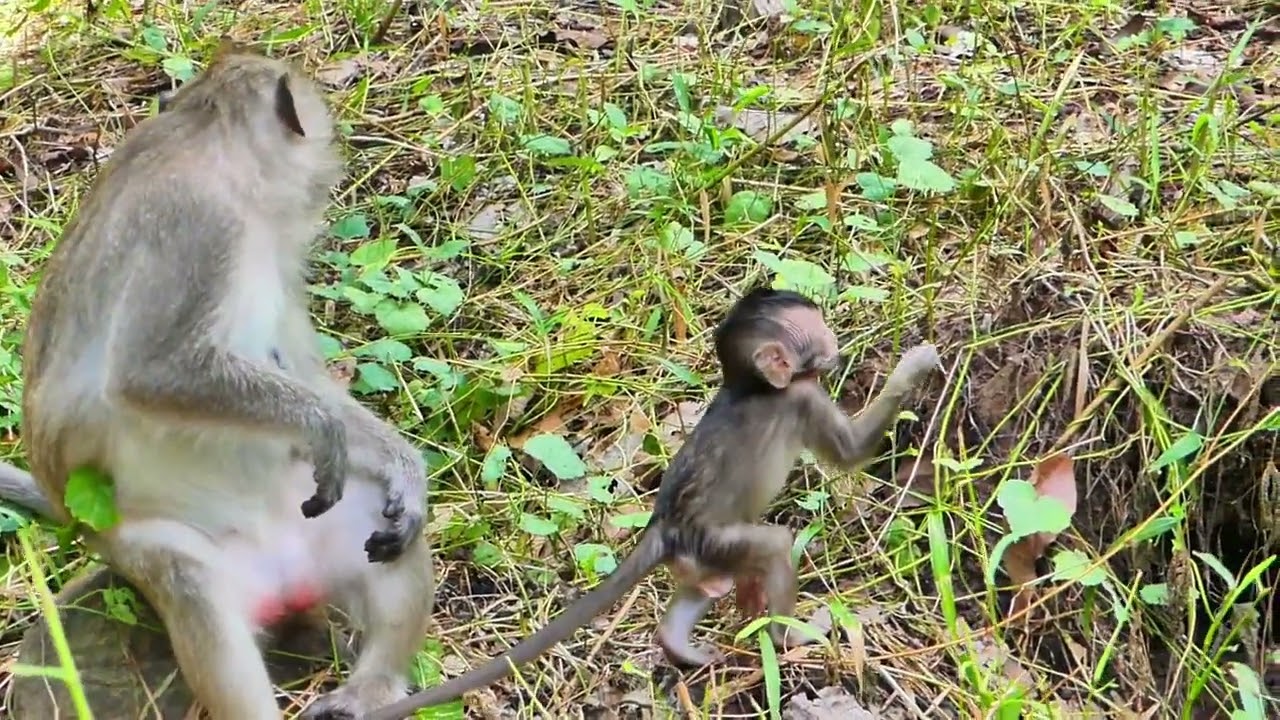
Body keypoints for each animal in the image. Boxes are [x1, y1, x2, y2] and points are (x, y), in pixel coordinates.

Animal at [13, 41, 433, 719]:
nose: (329, 164)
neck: (208, 139)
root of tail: (287, 574)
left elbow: (304, 371)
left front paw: (404, 468)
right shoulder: (200, 226)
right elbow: (152, 372)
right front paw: (321, 426)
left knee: (373, 519)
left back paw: (371, 687)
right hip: (144, 548)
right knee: (191, 584)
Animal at [362, 287, 942, 720]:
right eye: (812, 328)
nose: (833, 334)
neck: (753, 386)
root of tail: (663, 523)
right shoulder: (802, 397)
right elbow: (851, 453)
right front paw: (915, 364)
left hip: (699, 553)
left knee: (709, 582)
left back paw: (678, 640)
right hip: (714, 539)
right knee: (772, 546)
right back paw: (780, 639)